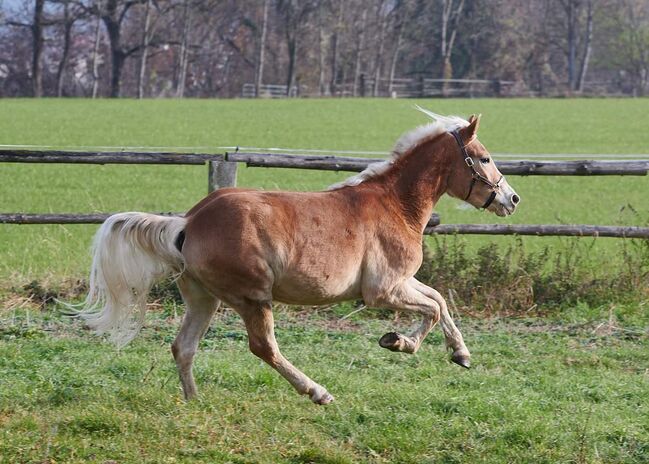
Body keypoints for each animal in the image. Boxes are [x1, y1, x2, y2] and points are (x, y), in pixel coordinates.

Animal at [77, 108, 520, 402]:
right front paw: (398, 342)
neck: (395, 205)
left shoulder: (402, 281)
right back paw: (317, 392)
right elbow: (432, 307)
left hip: (204, 298)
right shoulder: (384, 290)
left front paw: (459, 354)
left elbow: (439, 300)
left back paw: (194, 401)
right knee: (263, 347)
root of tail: (188, 222)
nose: (511, 199)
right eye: (484, 157)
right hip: (253, 297)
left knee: (183, 346)